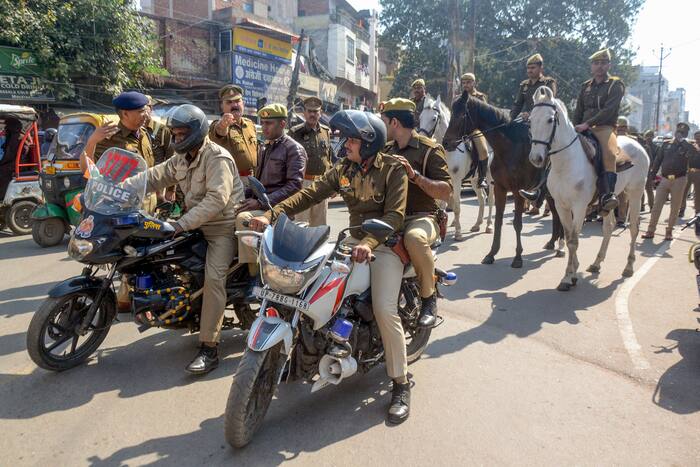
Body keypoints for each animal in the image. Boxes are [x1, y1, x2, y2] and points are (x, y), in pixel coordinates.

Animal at [418, 95, 494, 241]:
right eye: (420, 117)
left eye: (434, 118)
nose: (422, 138)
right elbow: (443, 204)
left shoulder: (457, 180)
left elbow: (457, 206)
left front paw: (458, 232)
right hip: (475, 179)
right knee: (482, 198)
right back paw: (477, 224)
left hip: (490, 177)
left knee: (491, 199)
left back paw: (488, 226)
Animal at [446, 93, 568, 268]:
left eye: (461, 115)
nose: (446, 142)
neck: (508, 149)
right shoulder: (500, 188)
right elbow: (498, 221)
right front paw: (491, 253)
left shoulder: (517, 191)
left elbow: (517, 223)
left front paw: (517, 257)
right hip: (549, 194)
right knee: (556, 216)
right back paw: (552, 242)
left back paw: (561, 247)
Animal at [532, 87, 652, 290]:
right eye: (531, 120)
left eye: (550, 119)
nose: (536, 158)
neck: (566, 163)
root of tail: (638, 144)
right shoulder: (561, 206)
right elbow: (568, 237)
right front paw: (574, 271)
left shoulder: (579, 206)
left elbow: (573, 240)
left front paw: (567, 277)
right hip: (611, 199)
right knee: (609, 227)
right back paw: (596, 263)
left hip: (635, 193)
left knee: (634, 228)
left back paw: (628, 267)